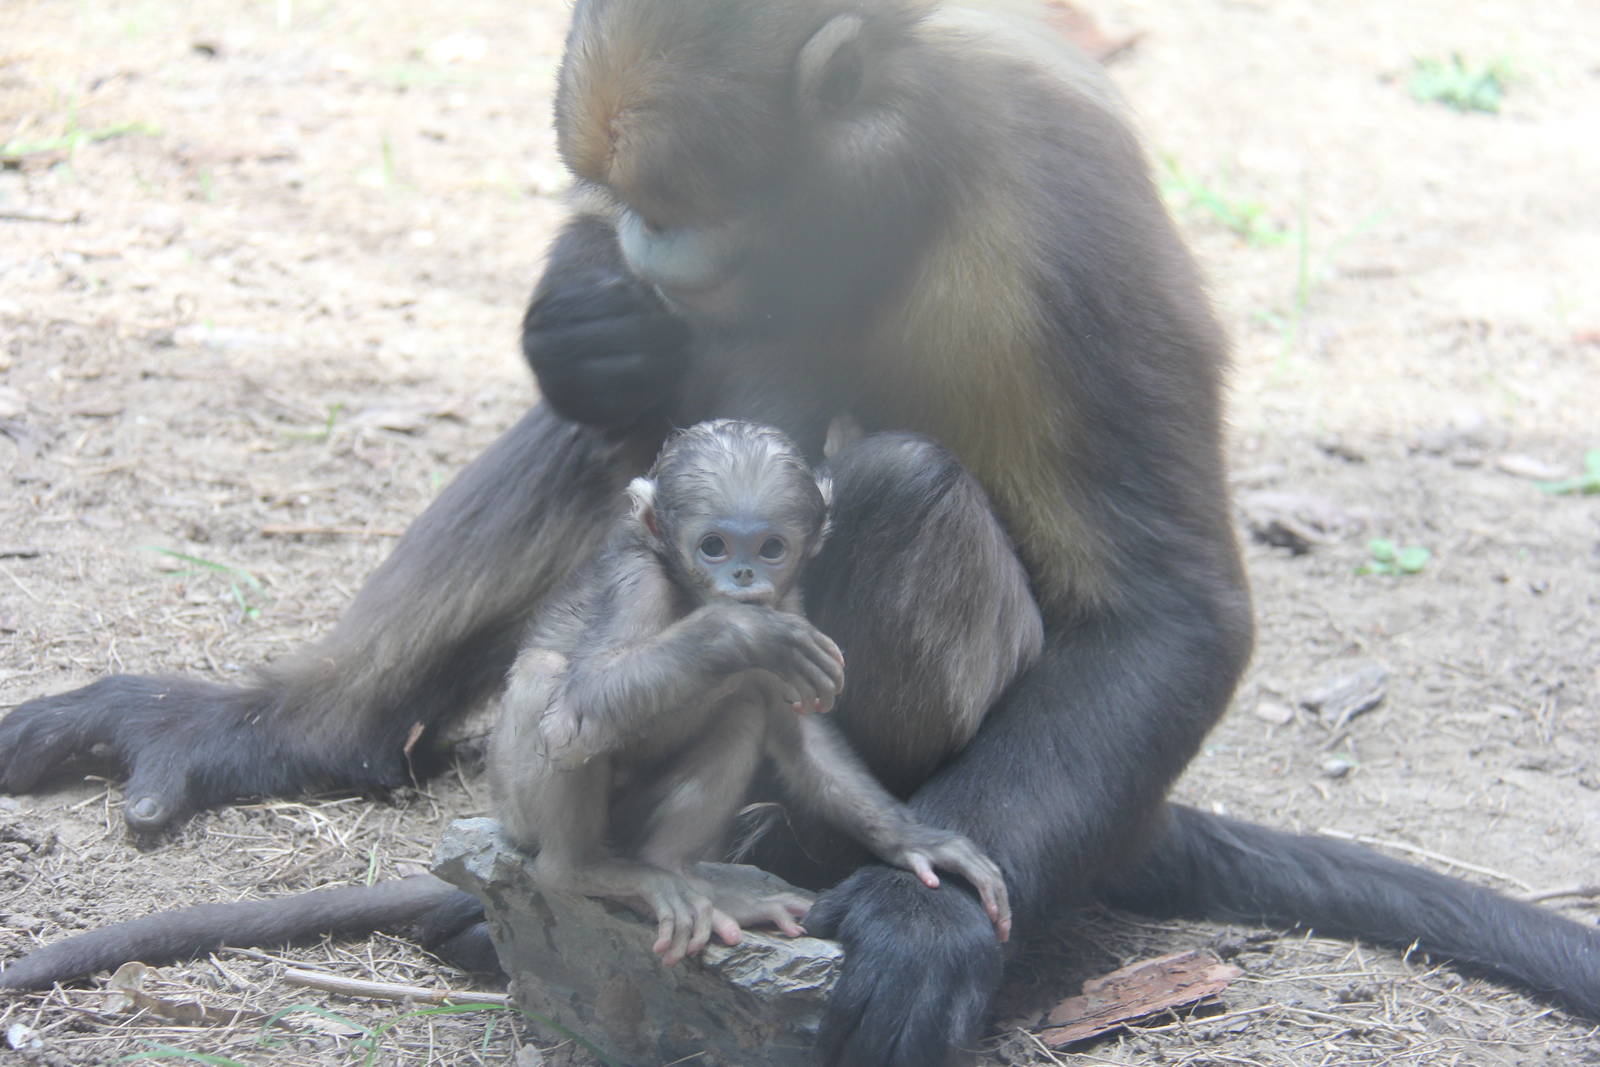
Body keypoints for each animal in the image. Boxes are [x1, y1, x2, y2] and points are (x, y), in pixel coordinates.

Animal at [489, 419, 1016, 965]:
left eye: (771, 548)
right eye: (713, 546)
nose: (743, 577)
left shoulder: (790, 600)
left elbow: (800, 733)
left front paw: (912, 839)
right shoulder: (637, 580)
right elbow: (584, 695)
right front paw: (742, 630)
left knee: (743, 710)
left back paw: (680, 874)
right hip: (517, 807)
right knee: (546, 676)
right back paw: (581, 870)